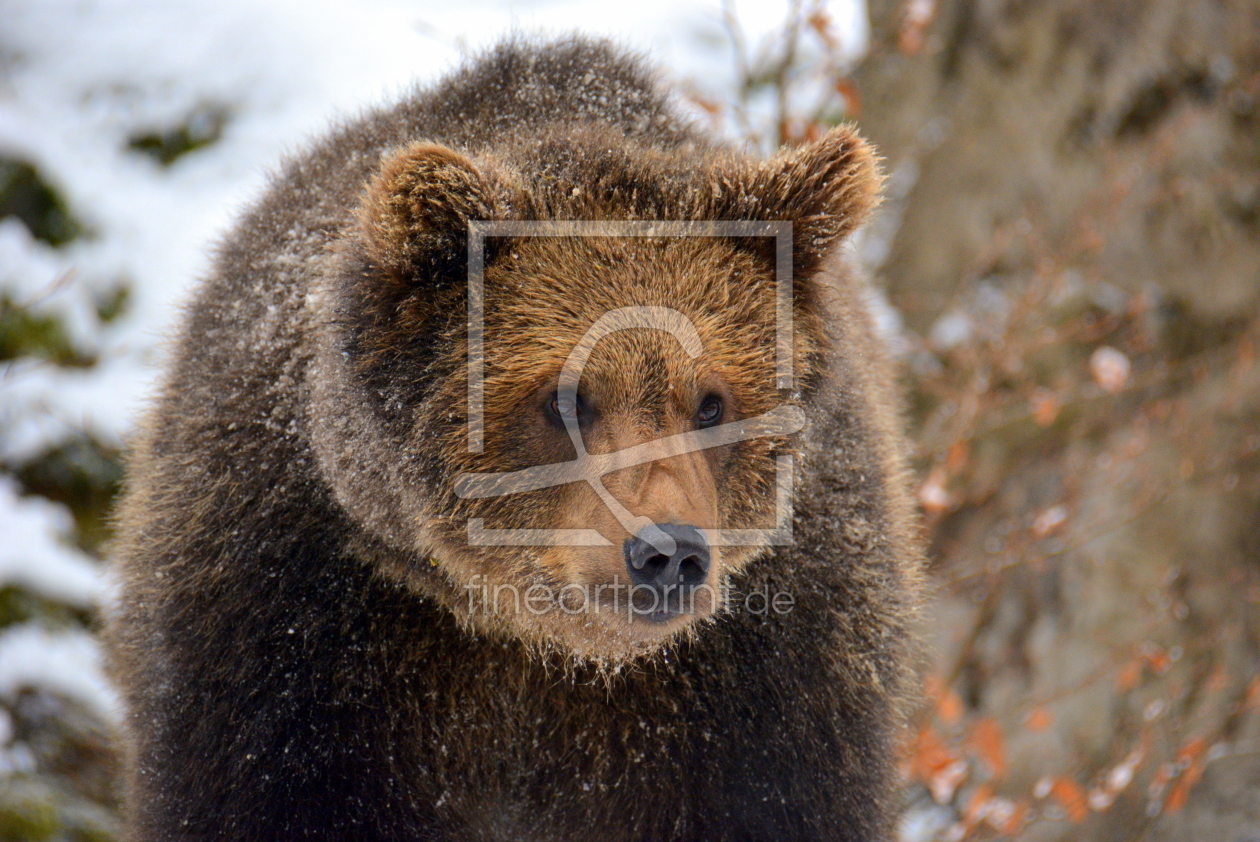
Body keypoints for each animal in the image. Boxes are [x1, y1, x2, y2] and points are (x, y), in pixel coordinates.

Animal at [103, 34, 922, 842]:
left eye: (712, 403)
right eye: (565, 399)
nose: (667, 552)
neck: (531, 645)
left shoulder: (762, 679)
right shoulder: (294, 632)